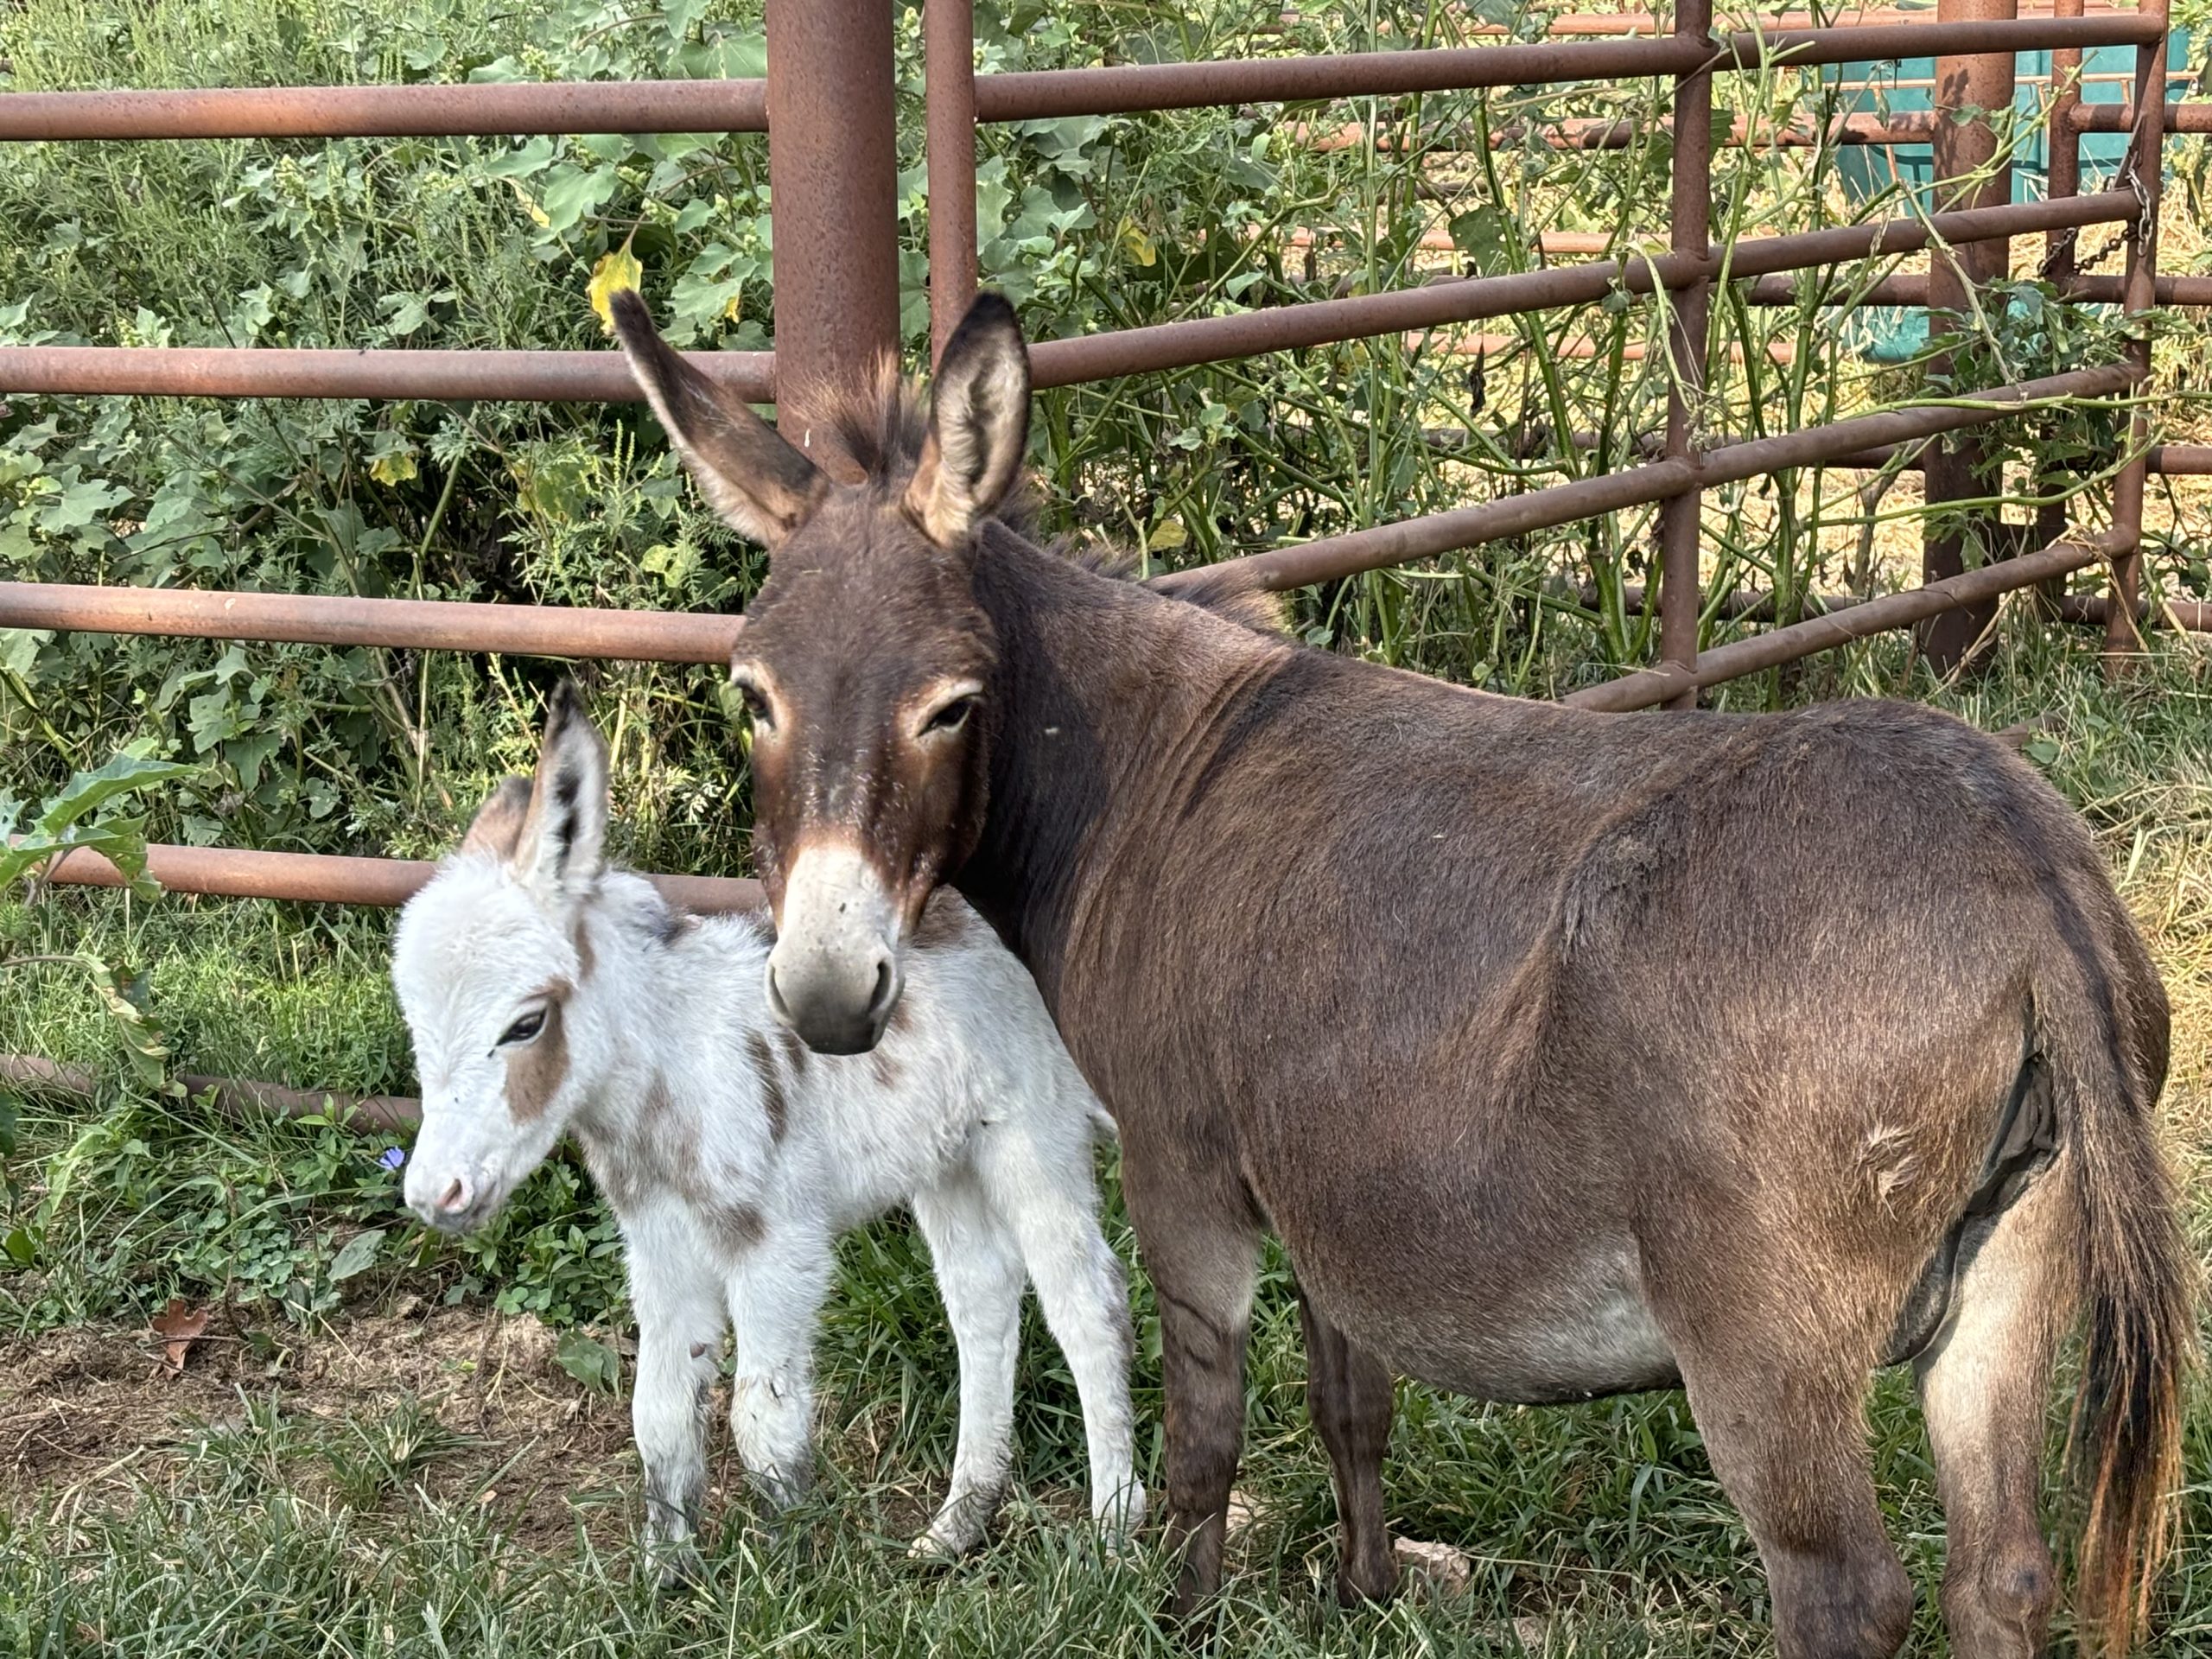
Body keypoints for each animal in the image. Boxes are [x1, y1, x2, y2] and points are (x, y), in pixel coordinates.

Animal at [389, 685, 1141, 1574]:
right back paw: (958, 1523)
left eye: (526, 1023)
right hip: (947, 1155)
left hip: (1032, 1133)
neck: (670, 1065)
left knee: (1088, 1306)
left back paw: (1115, 1532)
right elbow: (659, 1414)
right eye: (413, 1025)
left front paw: (790, 1567)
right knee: (982, 1300)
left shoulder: (779, 1244)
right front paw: (667, 1576)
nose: (435, 1196)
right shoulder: (660, 1246)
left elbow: (763, 1420)